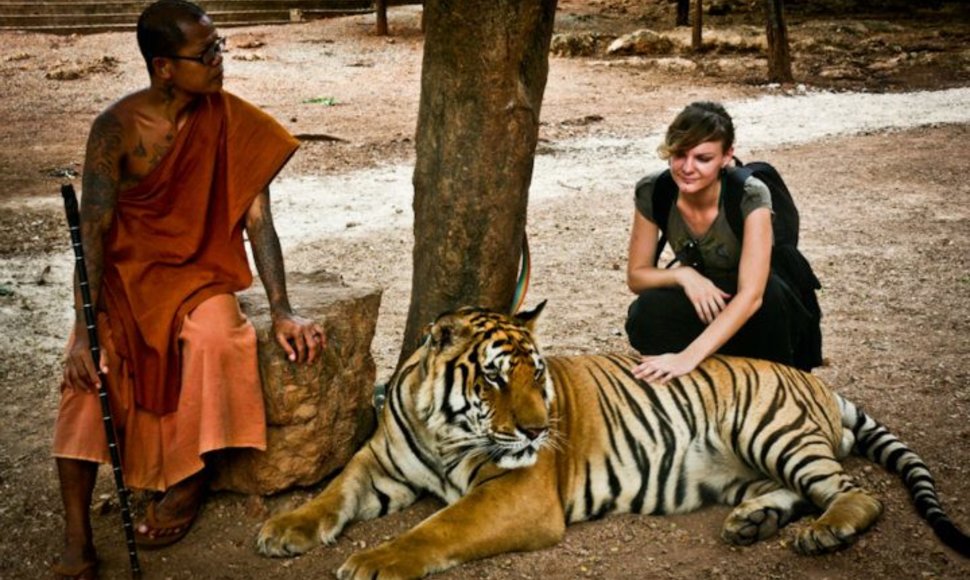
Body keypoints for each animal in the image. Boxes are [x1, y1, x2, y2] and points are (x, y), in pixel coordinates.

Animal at [258, 302, 968, 576]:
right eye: (493, 377)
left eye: (537, 375)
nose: (538, 430)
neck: (443, 431)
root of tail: (813, 380)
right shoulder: (377, 462)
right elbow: (332, 493)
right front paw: (284, 529)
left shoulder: (516, 494)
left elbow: (436, 528)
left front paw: (375, 561)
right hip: (754, 462)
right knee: (794, 491)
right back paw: (751, 523)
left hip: (771, 430)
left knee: (854, 492)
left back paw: (825, 532)